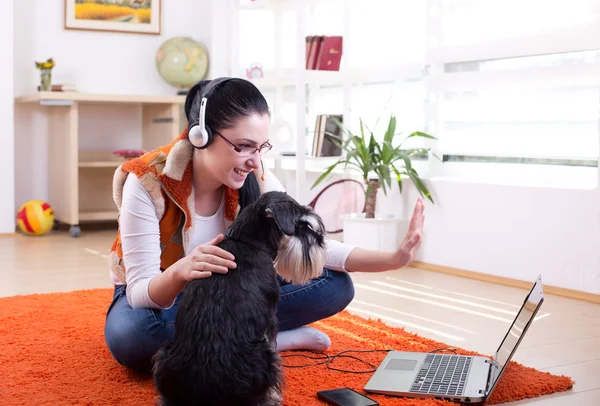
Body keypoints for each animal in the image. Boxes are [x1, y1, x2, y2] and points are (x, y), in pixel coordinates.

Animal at [152, 191, 326, 406]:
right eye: (302, 225)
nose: (321, 240)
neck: (247, 242)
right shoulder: (269, 320)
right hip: (265, 358)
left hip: (164, 356)